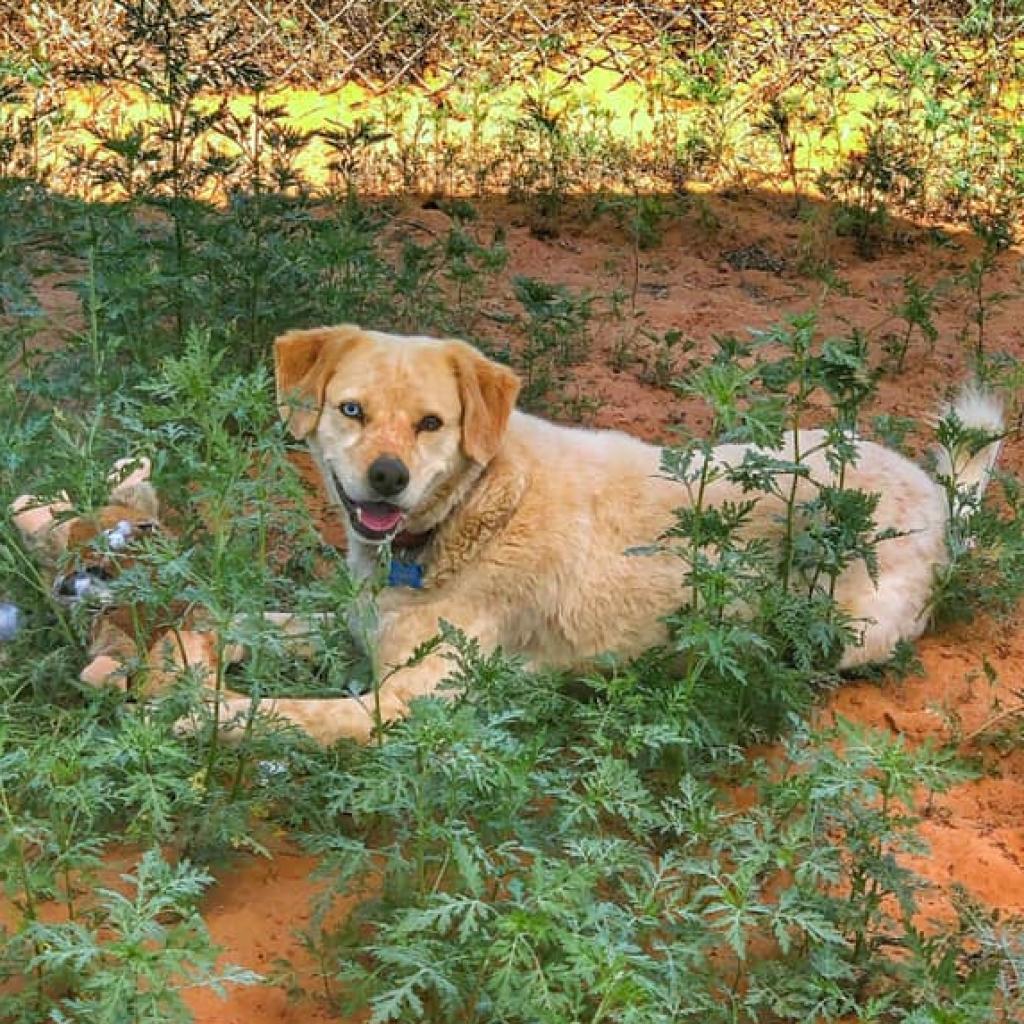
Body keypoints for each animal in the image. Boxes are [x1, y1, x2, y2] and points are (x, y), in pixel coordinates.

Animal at [207, 325, 999, 745]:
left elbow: (277, 714)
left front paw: (198, 713)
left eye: (432, 423)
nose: (388, 477)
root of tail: (938, 498)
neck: (472, 507)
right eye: (352, 410)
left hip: (848, 631)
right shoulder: (353, 622)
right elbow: (234, 621)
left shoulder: (407, 704)